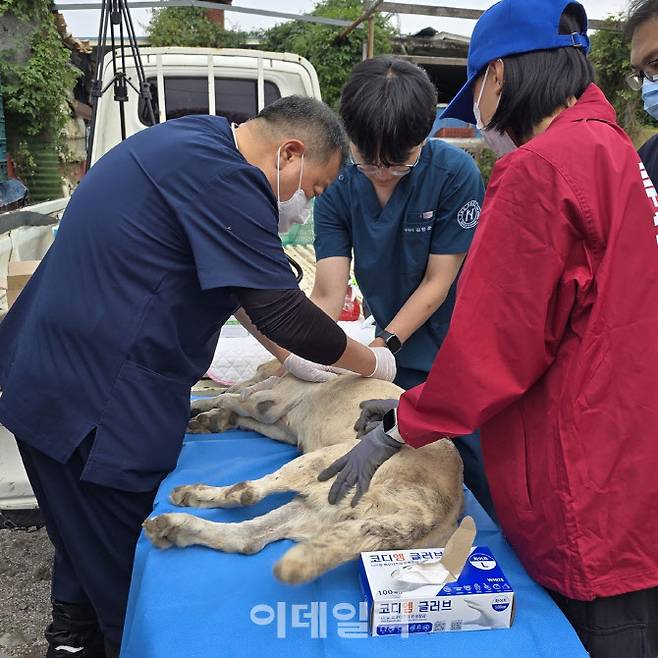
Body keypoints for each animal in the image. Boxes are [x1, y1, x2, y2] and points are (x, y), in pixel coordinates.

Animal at [143, 362, 462, 580]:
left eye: (257, 370)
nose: (230, 385)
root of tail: (429, 513)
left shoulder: (267, 402)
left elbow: (233, 400)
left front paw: (211, 408)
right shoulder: (278, 425)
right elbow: (243, 415)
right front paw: (213, 418)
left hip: (325, 463)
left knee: (249, 492)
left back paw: (196, 495)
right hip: (319, 511)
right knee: (248, 537)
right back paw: (176, 523)